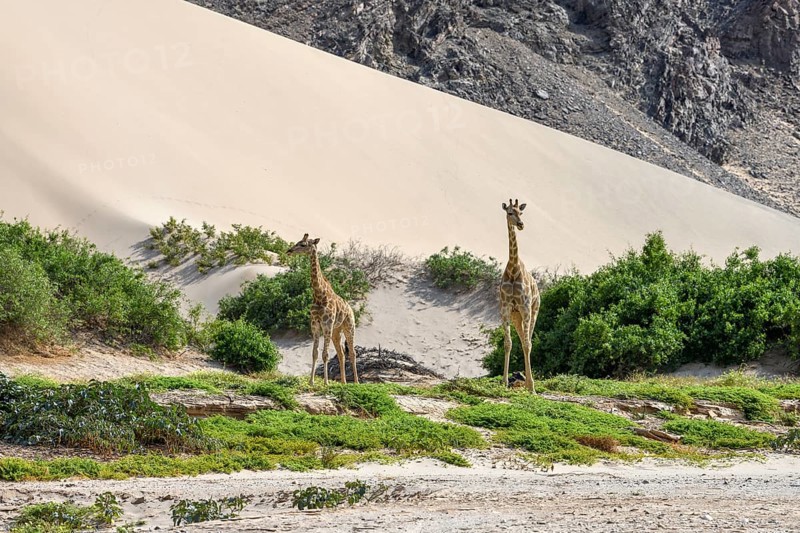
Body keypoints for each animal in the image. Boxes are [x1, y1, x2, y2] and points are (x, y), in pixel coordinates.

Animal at [287, 234, 359, 385]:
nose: (289, 251)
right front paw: (311, 381)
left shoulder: (326, 324)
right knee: (341, 353)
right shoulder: (315, 325)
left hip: (349, 326)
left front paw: (325, 382)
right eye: (297, 242)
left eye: (303, 244)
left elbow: (324, 354)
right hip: (336, 331)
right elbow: (314, 353)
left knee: (352, 352)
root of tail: (351, 309)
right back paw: (343, 382)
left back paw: (356, 382)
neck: (319, 295)